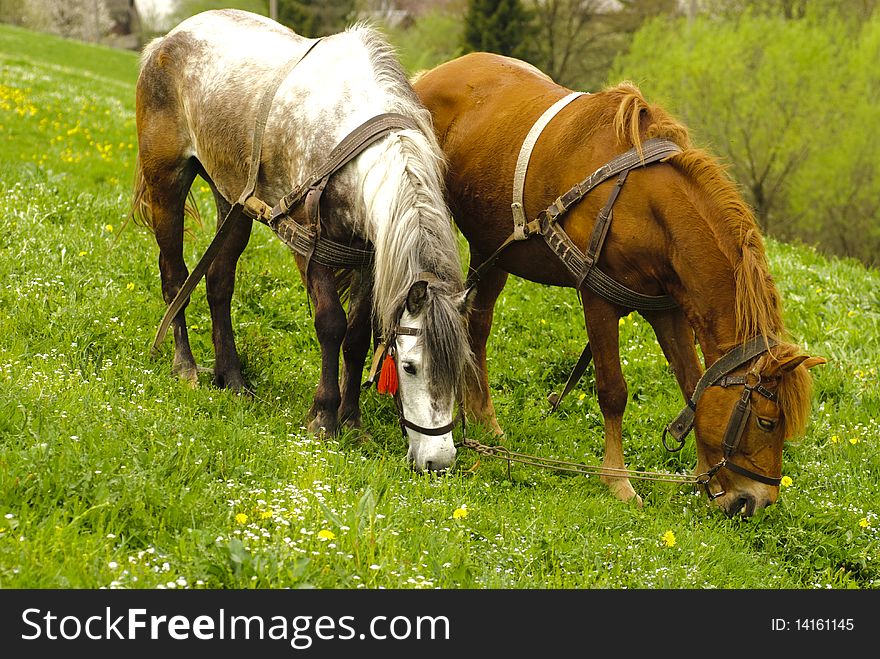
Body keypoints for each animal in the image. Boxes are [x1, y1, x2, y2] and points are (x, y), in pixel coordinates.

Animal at [412, 52, 824, 516]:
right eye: (767, 421)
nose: (756, 501)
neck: (644, 205)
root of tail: (431, 75)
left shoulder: (667, 310)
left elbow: (693, 385)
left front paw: (705, 477)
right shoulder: (597, 300)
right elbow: (613, 391)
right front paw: (618, 480)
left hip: (493, 247)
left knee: (477, 327)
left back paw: (484, 416)